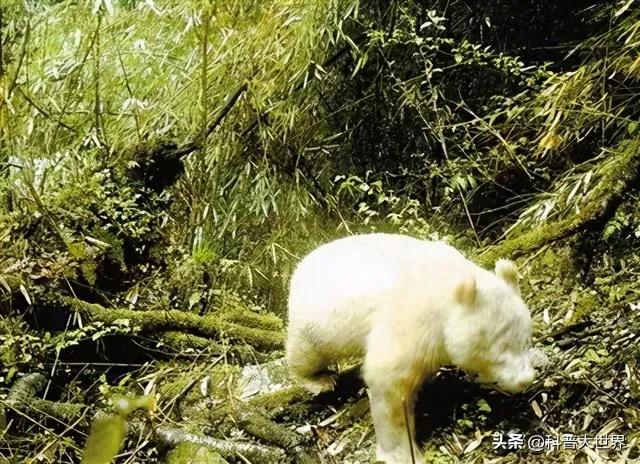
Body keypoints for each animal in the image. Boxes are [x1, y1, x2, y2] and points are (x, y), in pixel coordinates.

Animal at [285, 233, 536, 464]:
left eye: (525, 340)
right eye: (501, 349)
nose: (525, 379)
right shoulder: (412, 320)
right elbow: (390, 384)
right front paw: (402, 453)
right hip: (316, 322)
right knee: (306, 354)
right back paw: (320, 380)